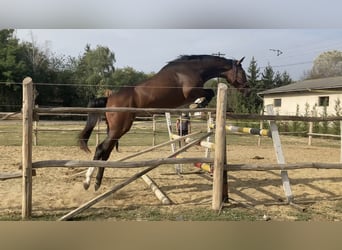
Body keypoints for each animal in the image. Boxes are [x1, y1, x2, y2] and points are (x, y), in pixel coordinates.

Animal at [78, 54, 247, 190]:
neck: (193, 69)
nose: (247, 88)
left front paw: (198, 105)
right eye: (242, 72)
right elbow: (209, 92)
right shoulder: (191, 92)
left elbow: (208, 93)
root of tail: (110, 99)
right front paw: (198, 105)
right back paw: (90, 182)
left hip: (117, 130)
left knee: (105, 152)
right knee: (101, 149)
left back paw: (92, 182)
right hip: (119, 128)